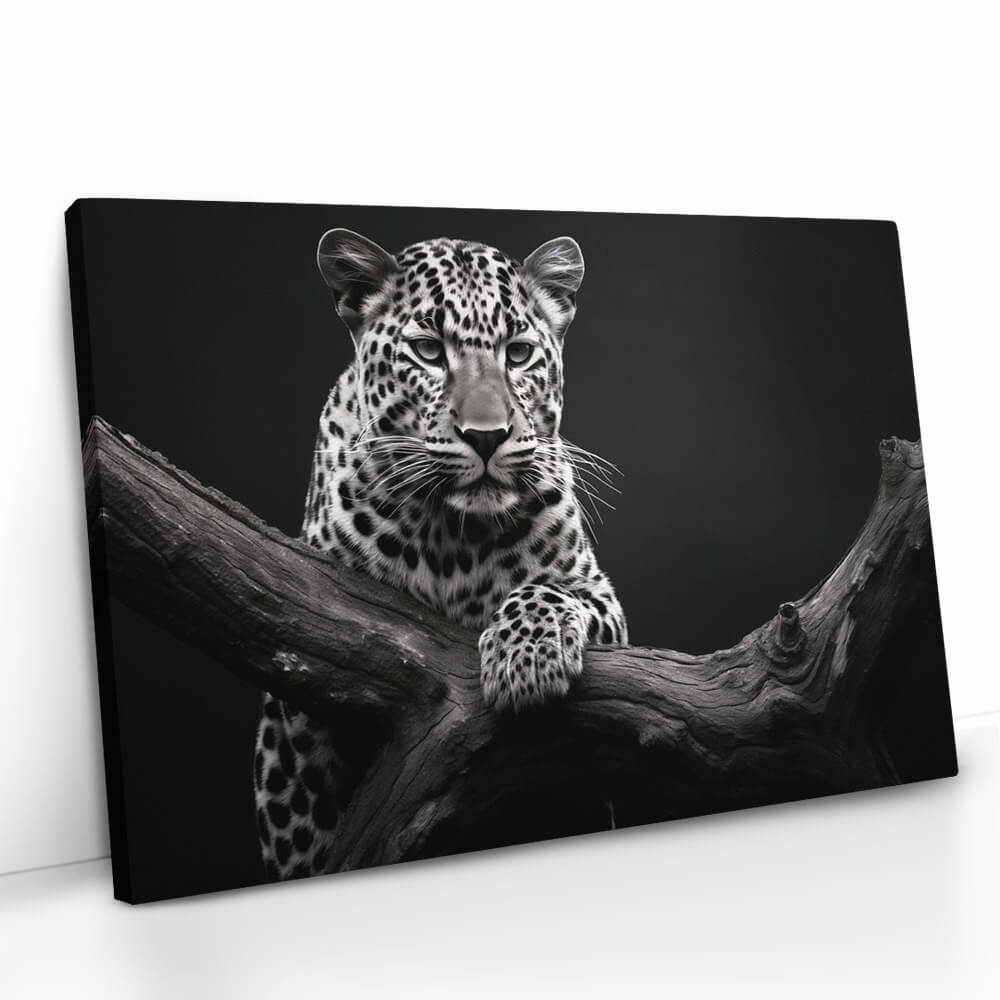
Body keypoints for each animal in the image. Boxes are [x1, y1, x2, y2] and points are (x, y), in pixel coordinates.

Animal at [253, 228, 628, 881]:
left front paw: (525, 662)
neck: (453, 534)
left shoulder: (598, 593)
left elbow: (548, 589)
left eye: (519, 354)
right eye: (429, 350)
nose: (487, 436)